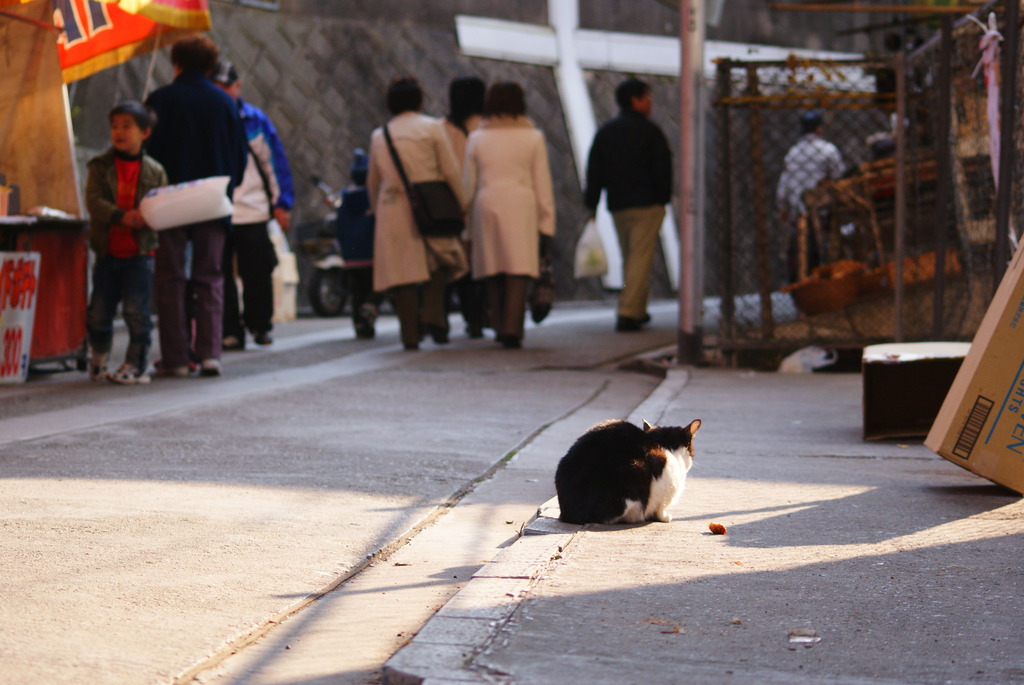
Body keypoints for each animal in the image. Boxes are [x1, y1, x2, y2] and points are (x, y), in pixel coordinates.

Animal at [552, 417, 704, 524]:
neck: (664, 444)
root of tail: (569, 514)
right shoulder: (666, 487)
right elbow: (660, 509)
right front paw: (664, 517)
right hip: (634, 473)